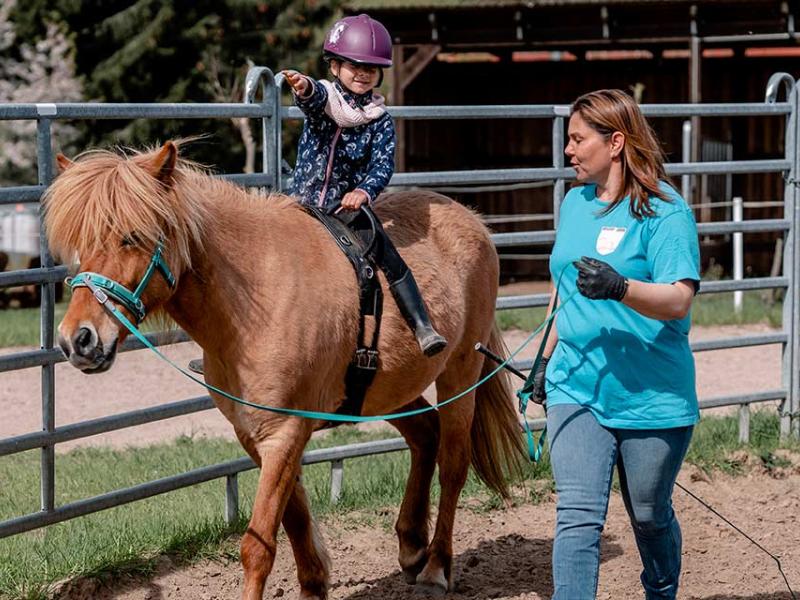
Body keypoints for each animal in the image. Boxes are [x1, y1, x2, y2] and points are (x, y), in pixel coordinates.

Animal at [47, 142, 528, 600]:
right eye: (77, 244)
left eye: (130, 237)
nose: (78, 340)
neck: (255, 298)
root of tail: (474, 222)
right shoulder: (257, 434)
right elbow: (293, 518)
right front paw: (314, 584)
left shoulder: (284, 432)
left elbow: (257, 545)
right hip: (389, 390)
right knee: (425, 434)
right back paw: (412, 547)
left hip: (461, 372)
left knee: (453, 464)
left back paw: (436, 569)